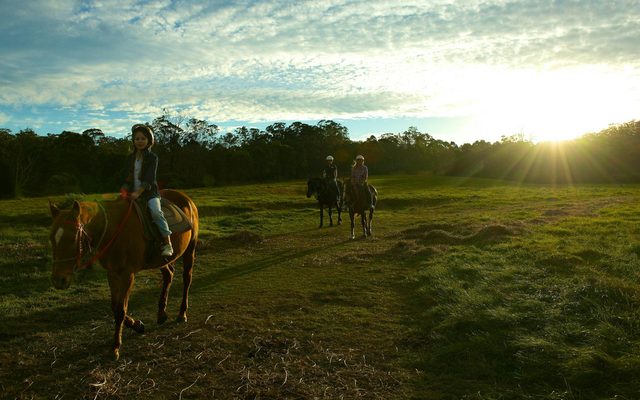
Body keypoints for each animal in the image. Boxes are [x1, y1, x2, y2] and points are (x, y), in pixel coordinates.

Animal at [48, 189, 199, 360]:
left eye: (73, 237)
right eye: (51, 238)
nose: (58, 280)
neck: (112, 230)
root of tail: (186, 198)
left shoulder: (128, 275)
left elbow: (121, 310)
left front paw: (115, 347)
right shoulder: (112, 273)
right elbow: (115, 306)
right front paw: (138, 326)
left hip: (190, 249)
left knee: (187, 279)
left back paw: (182, 313)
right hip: (161, 260)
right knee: (168, 275)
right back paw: (161, 314)